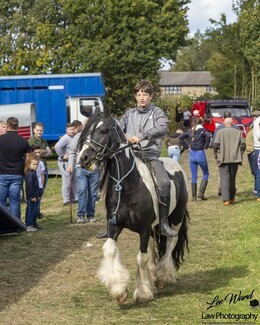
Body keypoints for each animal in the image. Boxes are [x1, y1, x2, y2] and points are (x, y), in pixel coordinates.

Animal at [77, 107, 189, 302]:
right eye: (86, 131)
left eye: (103, 131)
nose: (83, 158)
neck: (128, 185)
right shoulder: (114, 225)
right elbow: (110, 250)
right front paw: (119, 290)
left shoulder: (143, 228)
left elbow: (141, 258)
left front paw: (143, 291)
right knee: (153, 247)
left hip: (175, 218)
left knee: (170, 242)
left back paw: (162, 276)